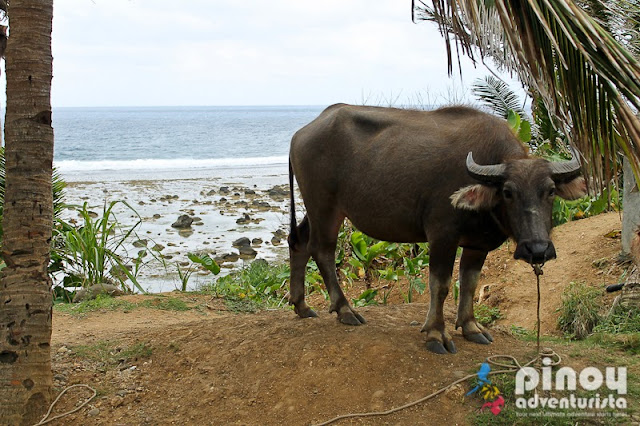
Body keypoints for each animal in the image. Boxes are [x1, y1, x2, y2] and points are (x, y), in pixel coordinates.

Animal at [288, 105, 588, 354]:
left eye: (550, 191)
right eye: (508, 192)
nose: (537, 249)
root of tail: (300, 134)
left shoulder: (477, 244)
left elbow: (469, 283)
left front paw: (471, 327)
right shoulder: (442, 236)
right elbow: (440, 285)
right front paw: (436, 333)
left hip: (320, 210)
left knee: (298, 242)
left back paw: (301, 305)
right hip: (324, 208)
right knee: (323, 251)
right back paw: (345, 309)